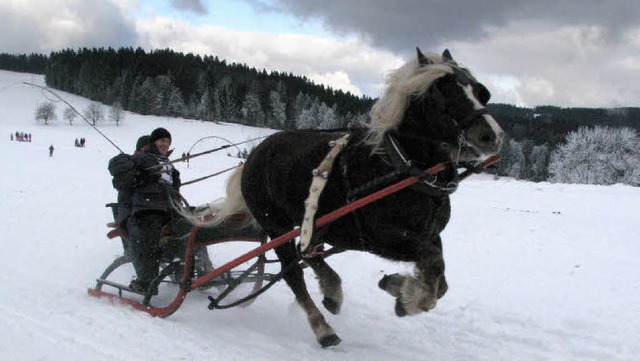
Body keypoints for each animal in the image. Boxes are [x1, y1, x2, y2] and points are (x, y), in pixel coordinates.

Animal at [190, 48, 504, 346]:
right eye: (444, 93)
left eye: (480, 91)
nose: (493, 136)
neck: (401, 168)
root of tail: (255, 154)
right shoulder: (384, 239)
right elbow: (433, 270)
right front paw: (409, 297)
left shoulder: (429, 234)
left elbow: (440, 280)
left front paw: (398, 291)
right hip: (275, 226)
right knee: (294, 274)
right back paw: (323, 328)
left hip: (314, 223)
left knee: (310, 252)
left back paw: (332, 291)